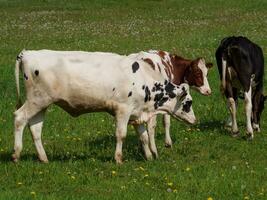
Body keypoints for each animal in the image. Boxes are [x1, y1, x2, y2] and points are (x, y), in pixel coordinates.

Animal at [12, 49, 197, 164]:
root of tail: (28, 53)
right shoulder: (123, 110)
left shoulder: (137, 113)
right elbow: (121, 135)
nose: (195, 120)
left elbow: (143, 136)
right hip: (37, 100)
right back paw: (16, 154)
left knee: (35, 128)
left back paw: (43, 158)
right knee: (19, 118)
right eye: (188, 103)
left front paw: (149, 157)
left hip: (41, 104)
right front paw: (118, 158)